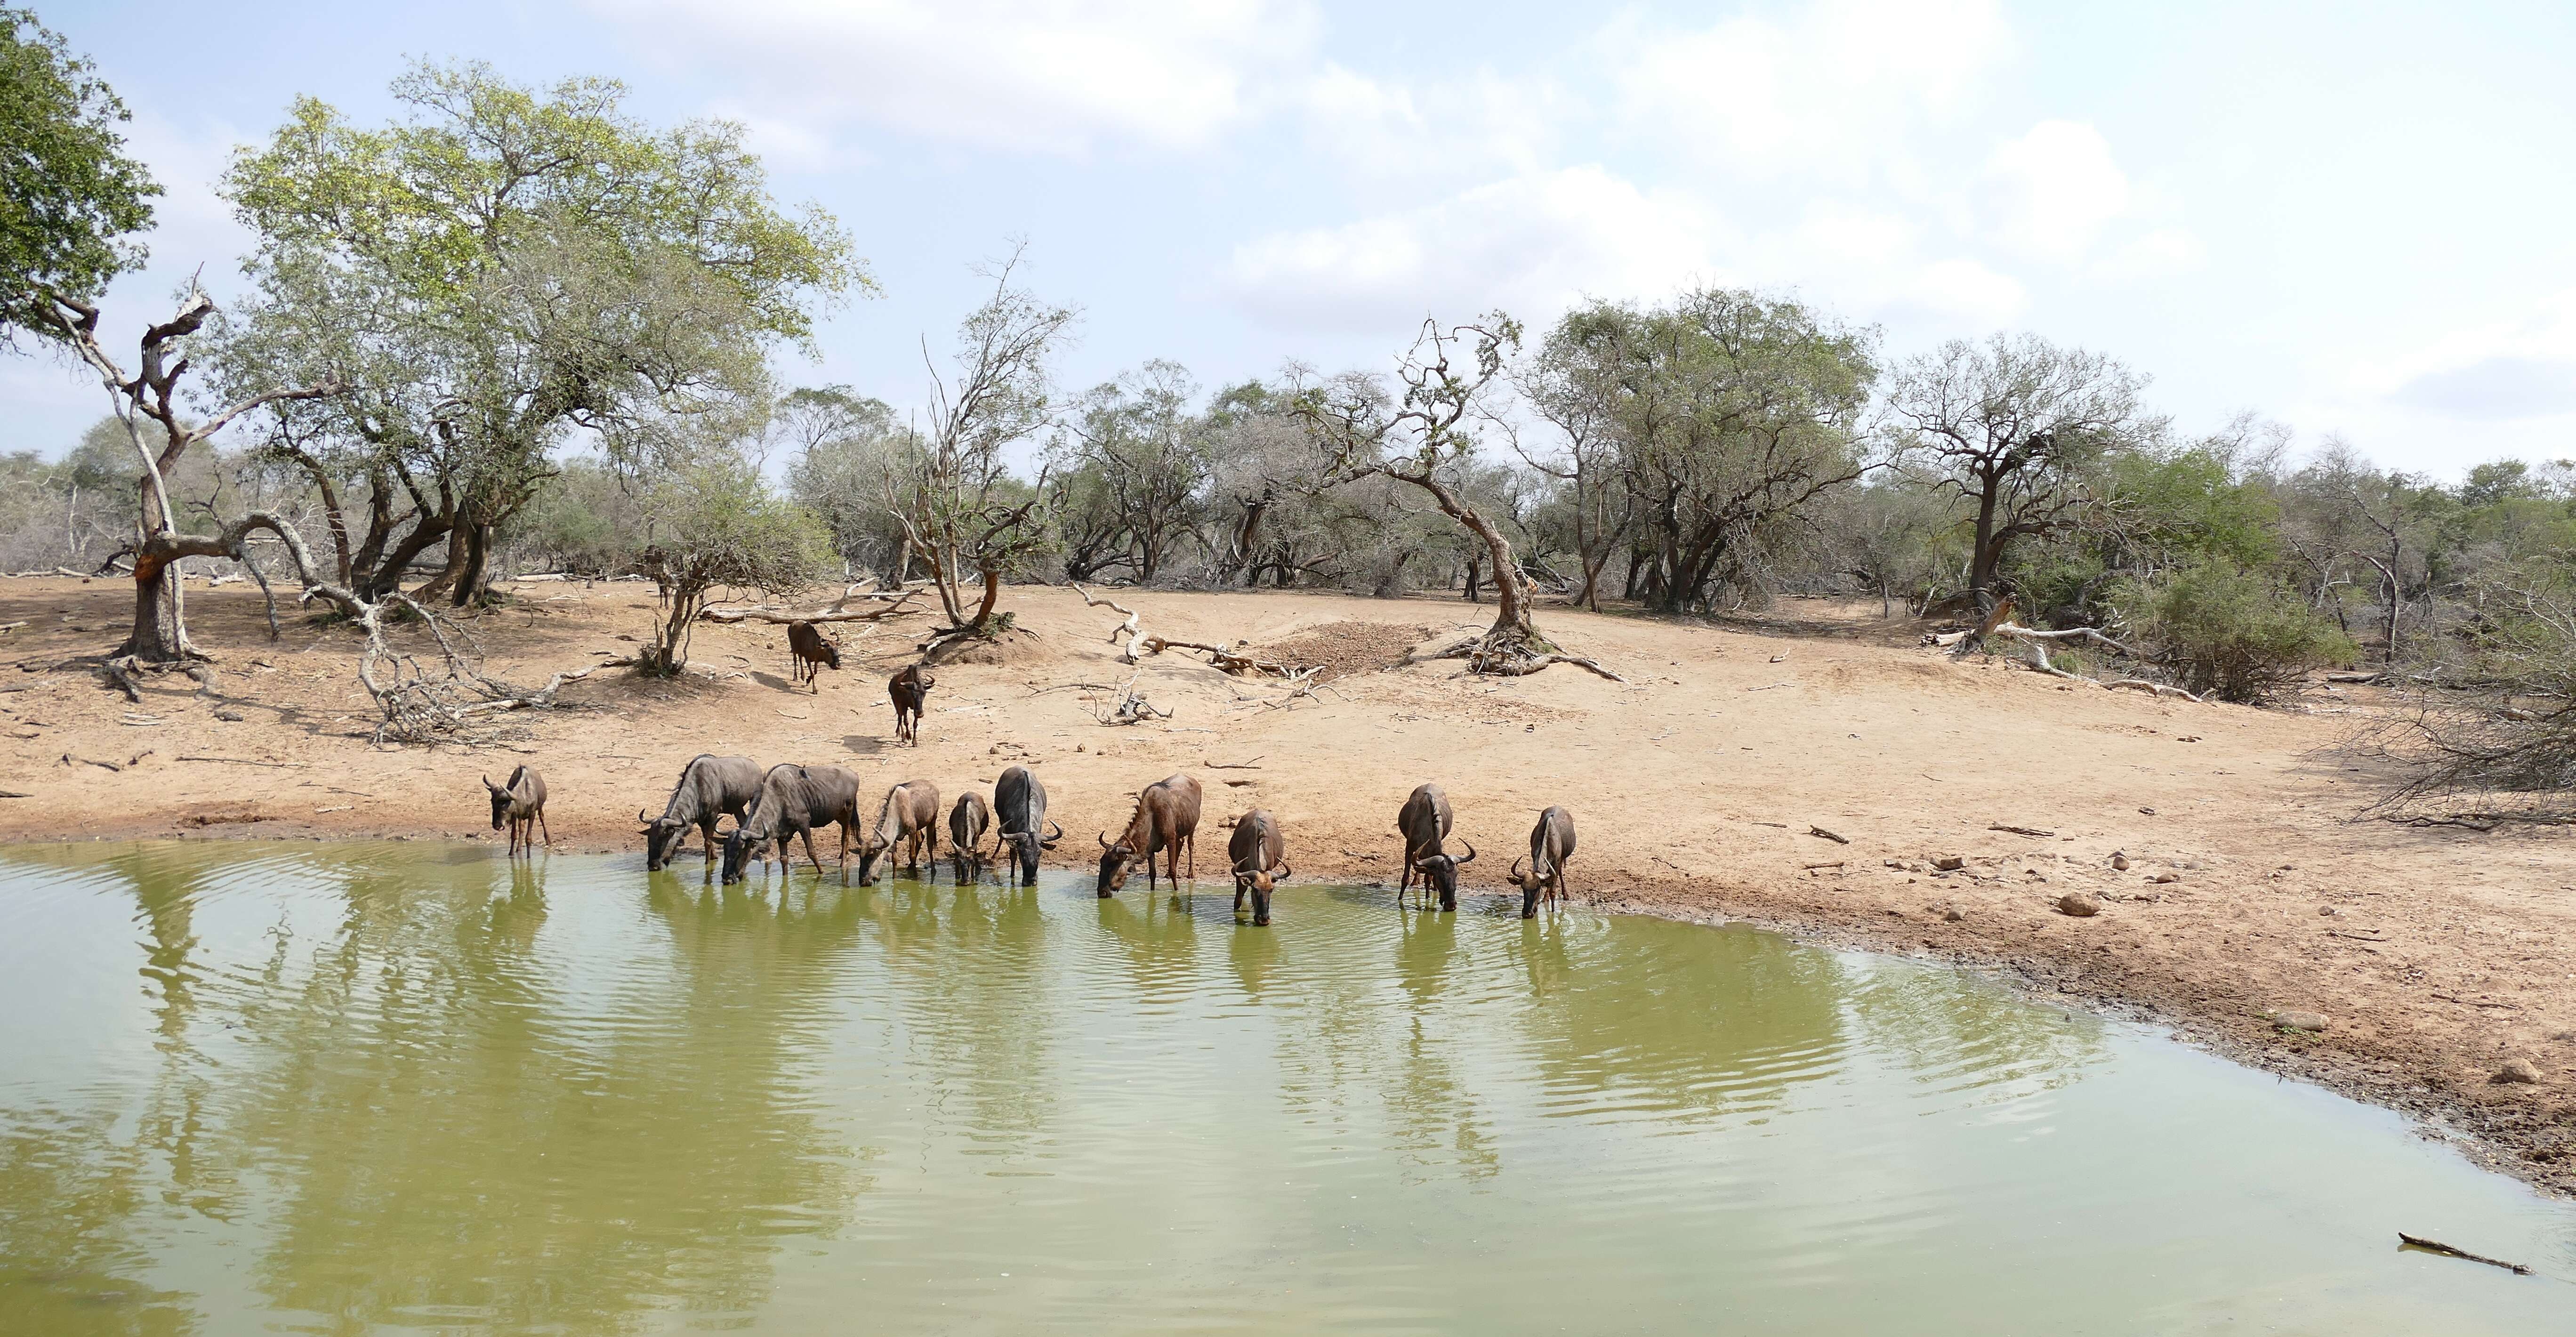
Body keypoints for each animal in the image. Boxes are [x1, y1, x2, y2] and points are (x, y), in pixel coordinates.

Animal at [492, 762, 559, 860]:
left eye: (504, 804)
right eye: (493, 803)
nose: (496, 826)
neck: (524, 794)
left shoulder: (532, 813)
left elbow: (528, 838)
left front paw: (529, 858)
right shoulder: (515, 814)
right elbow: (514, 835)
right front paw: (511, 854)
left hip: (540, 807)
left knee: (542, 818)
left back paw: (548, 840)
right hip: (521, 816)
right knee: (522, 827)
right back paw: (518, 849)